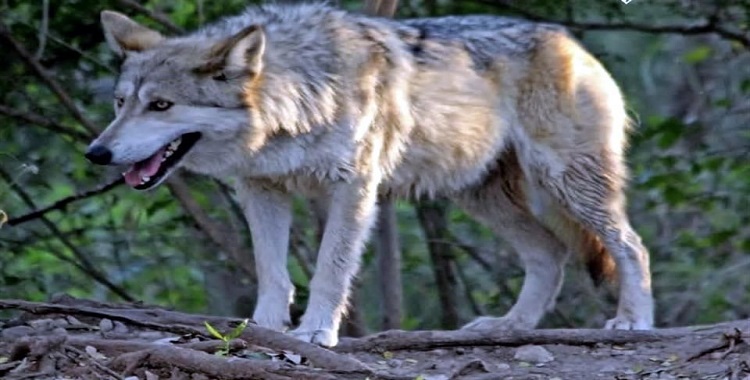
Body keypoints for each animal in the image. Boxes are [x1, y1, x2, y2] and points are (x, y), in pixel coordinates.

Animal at [85, 2, 656, 348]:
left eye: (161, 105)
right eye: (120, 103)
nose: (97, 152)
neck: (300, 96)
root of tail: (571, 42)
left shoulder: (353, 188)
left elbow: (330, 271)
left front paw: (316, 332)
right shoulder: (262, 190)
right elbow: (272, 273)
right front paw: (265, 330)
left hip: (565, 181)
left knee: (631, 246)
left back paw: (633, 321)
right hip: (479, 196)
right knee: (549, 255)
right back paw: (509, 326)